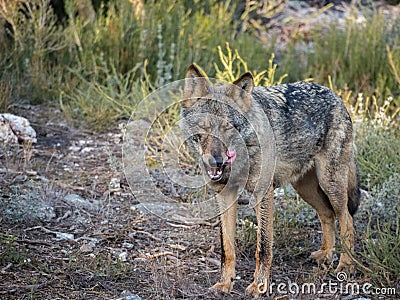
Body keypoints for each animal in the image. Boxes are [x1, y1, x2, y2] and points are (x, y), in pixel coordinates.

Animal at [180, 64, 360, 296]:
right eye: (205, 127)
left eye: (228, 127)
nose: (217, 161)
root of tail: (335, 95)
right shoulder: (224, 196)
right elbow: (226, 248)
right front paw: (224, 283)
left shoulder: (262, 194)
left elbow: (263, 247)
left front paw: (259, 285)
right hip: (305, 188)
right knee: (327, 214)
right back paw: (326, 255)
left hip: (331, 184)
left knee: (347, 219)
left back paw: (346, 265)